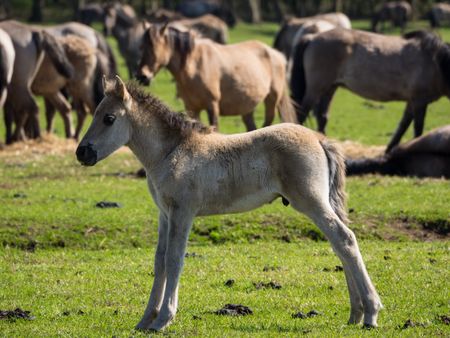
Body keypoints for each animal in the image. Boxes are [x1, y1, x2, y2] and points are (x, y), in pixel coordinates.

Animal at [76, 75, 384, 332]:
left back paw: (370, 313)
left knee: (345, 238)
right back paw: (355, 314)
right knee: (339, 245)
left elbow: (175, 260)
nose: (82, 153)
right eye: (96, 114)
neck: (172, 152)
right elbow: (160, 261)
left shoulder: (183, 213)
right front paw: (145, 320)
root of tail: (320, 139)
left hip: (310, 201)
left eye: (109, 118)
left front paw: (163, 319)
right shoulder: (164, 214)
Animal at [137, 24, 298, 131]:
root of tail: (276, 54)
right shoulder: (192, 108)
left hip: (272, 99)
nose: (142, 76)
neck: (194, 65)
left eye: (153, 47)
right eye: (142, 46)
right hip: (247, 107)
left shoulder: (212, 105)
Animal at [290, 27, 450, 152]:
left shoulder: (412, 101)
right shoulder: (419, 101)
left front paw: (389, 150)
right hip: (316, 89)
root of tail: (313, 37)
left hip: (330, 88)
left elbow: (402, 126)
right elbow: (418, 128)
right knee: (302, 113)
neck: (435, 62)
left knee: (322, 116)